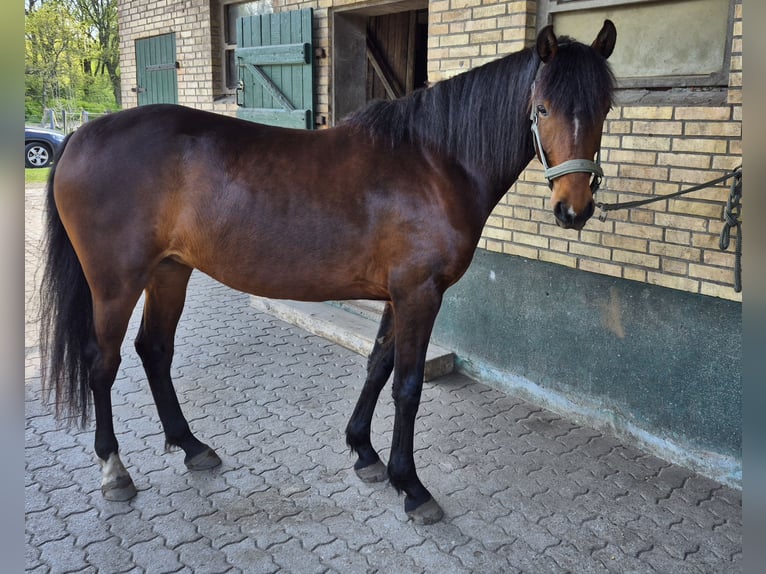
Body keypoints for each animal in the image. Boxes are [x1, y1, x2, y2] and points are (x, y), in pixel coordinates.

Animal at [38, 21, 616, 524]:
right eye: (542, 107)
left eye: (607, 107)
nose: (574, 209)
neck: (434, 163)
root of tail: (81, 136)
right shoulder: (420, 294)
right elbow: (408, 386)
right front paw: (412, 487)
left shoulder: (397, 295)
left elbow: (378, 366)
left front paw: (364, 452)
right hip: (115, 283)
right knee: (102, 363)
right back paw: (115, 471)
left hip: (170, 272)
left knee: (154, 350)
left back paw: (192, 446)